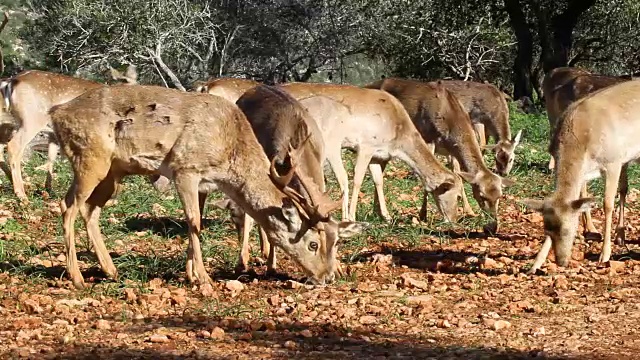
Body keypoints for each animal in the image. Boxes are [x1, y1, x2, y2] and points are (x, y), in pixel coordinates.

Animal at [0, 66, 138, 201]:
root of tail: (11, 81)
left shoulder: (54, 136)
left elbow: (51, 157)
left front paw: (48, 190)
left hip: (12, 122)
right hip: (32, 119)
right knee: (14, 146)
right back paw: (22, 195)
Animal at [50, 84, 360, 290]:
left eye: (336, 243)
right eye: (313, 243)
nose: (326, 276)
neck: (230, 149)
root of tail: (56, 112)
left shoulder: (203, 182)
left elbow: (194, 222)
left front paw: (191, 273)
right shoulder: (185, 168)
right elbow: (195, 221)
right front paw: (203, 278)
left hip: (113, 171)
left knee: (90, 210)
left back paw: (110, 270)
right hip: (90, 158)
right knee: (68, 206)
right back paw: (77, 277)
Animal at [282, 81, 464, 224]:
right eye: (456, 195)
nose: (453, 219)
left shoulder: (378, 155)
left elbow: (378, 180)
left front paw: (387, 216)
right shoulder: (366, 146)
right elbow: (357, 179)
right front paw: (352, 216)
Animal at [364, 77, 516, 232]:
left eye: (500, 196)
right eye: (481, 196)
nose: (493, 226)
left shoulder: (451, 151)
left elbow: (458, 176)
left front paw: (469, 211)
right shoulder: (428, 139)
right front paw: (423, 215)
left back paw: (378, 212)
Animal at [524, 79, 640, 272]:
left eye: (566, 230)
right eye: (546, 230)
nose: (561, 260)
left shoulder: (613, 161)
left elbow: (607, 204)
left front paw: (604, 254)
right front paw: (536, 263)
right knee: (624, 188)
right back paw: (620, 235)